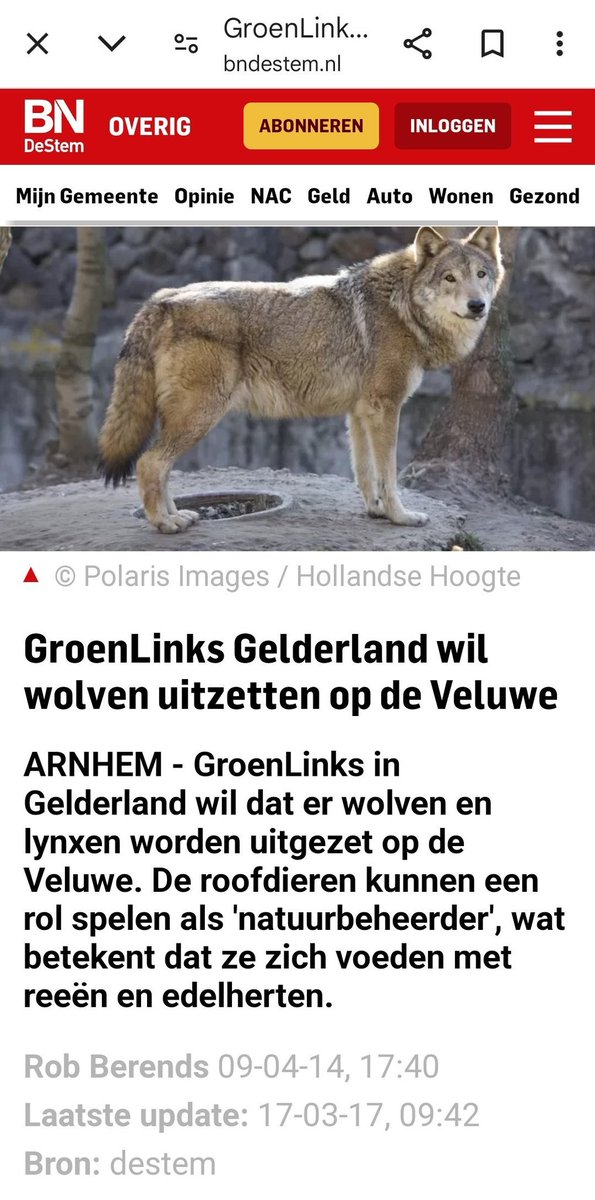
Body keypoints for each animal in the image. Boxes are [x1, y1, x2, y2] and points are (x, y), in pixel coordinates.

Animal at [99, 226, 503, 533]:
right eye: (450, 278)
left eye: (481, 275)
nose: (477, 306)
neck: (401, 307)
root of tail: (162, 298)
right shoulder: (384, 408)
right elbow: (388, 473)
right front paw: (400, 516)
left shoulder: (360, 412)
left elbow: (365, 472)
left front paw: (376, 511)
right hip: (200, 416)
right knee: (149, 463)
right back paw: (164, 523)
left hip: (189, 419)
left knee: (160, 466)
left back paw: (176, 515)